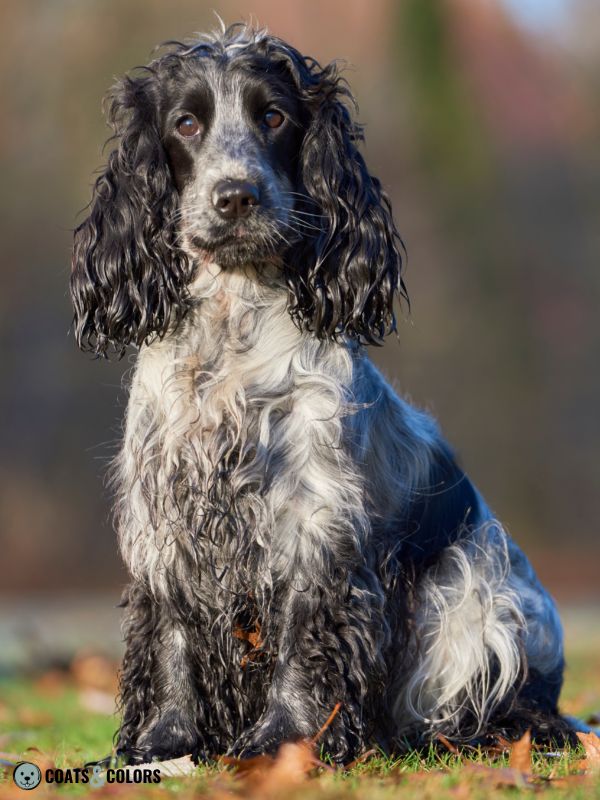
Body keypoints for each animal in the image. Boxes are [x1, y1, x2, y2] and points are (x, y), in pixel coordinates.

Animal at [70, 23, 572, 764]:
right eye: (186, 123)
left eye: (274, 117)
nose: (236, 195)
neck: (232, 330)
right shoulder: (167, 520)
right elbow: (171, 643)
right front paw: (161, 744)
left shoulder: (317, 519)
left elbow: (305, 638)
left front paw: (287, 741)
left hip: (476, 599)